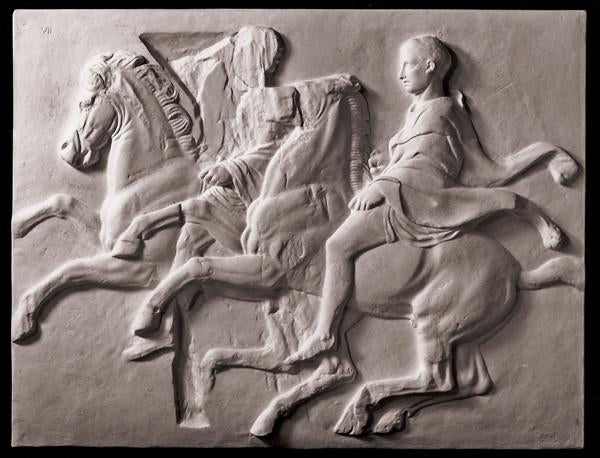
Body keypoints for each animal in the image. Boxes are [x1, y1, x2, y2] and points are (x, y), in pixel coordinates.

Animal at [119, 77, 584, 434]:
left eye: (304, 90)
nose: (264, 95)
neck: (303, 190)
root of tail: (516, 270)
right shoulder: (261, 272)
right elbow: (195, 228)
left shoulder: (268, 272)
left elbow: (198, 264)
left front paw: (146, 318)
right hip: (459, 332)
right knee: (469, 383)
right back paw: (378, 417)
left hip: (434, 323)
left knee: (430, 377)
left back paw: (357, 408)